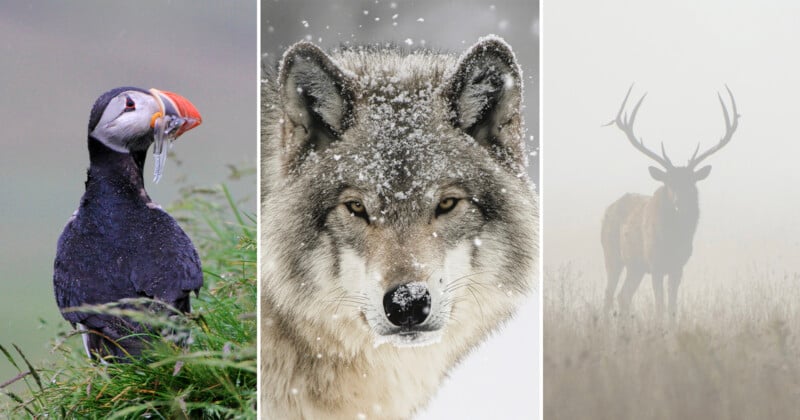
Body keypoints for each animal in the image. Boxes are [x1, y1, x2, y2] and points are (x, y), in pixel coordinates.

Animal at [601, 85, 739, 319]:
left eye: (691, 182)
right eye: (670, 183)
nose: (680, 202)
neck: (673, 239)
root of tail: (607, 210)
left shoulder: (678, 266)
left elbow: (673, 308)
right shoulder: (655, 264)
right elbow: (659, 307)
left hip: (635, 266)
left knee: (623, 296)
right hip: (611, 254)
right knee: (609, 294)